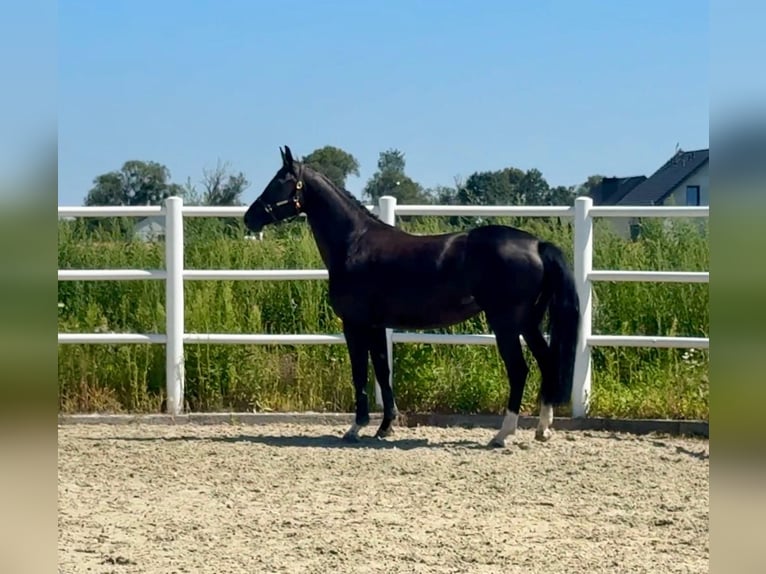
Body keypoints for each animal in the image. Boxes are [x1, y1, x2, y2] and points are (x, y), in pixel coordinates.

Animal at [244, 146, 580, 447]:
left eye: (279, 182)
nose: (250, 218)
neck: (354, 243)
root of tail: (537, 245)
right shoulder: (377, 326)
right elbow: (383, 371)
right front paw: (385, 427)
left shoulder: (355, 325)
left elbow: (360, 373)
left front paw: (356, 428)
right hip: (529, 323)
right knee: (547, 363)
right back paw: (542, 430)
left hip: (506, 324)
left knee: (519, 370)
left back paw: (502, 435)